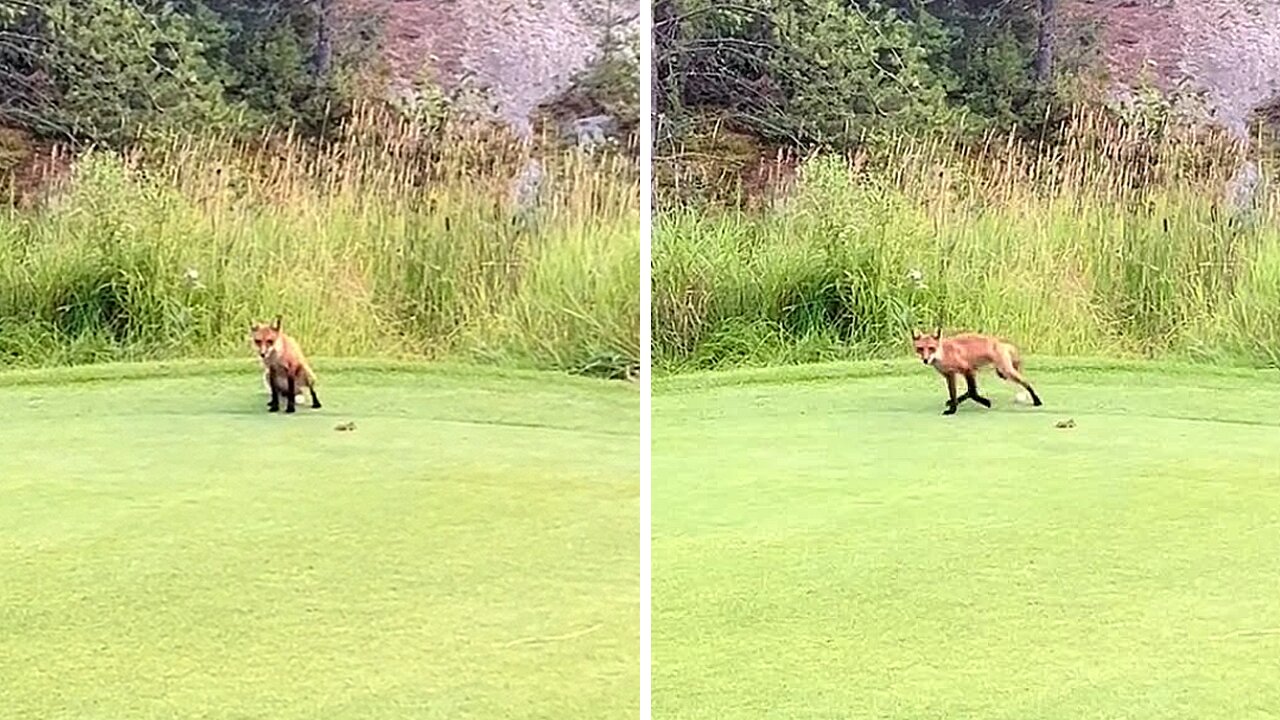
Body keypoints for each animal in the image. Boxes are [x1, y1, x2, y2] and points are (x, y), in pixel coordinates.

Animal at [911, 326, 1039, 415]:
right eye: (920, 349)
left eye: (931, 348)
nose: (926, 360)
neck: (944, 355)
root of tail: (1000, 342)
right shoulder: (950, 375)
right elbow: (955, 393)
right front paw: (953, 408)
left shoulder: (968, 369)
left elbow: (972, 393)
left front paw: (985, 402)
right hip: (1001, 372)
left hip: (1006, 371)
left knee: (1026, 383)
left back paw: (1037, 400)